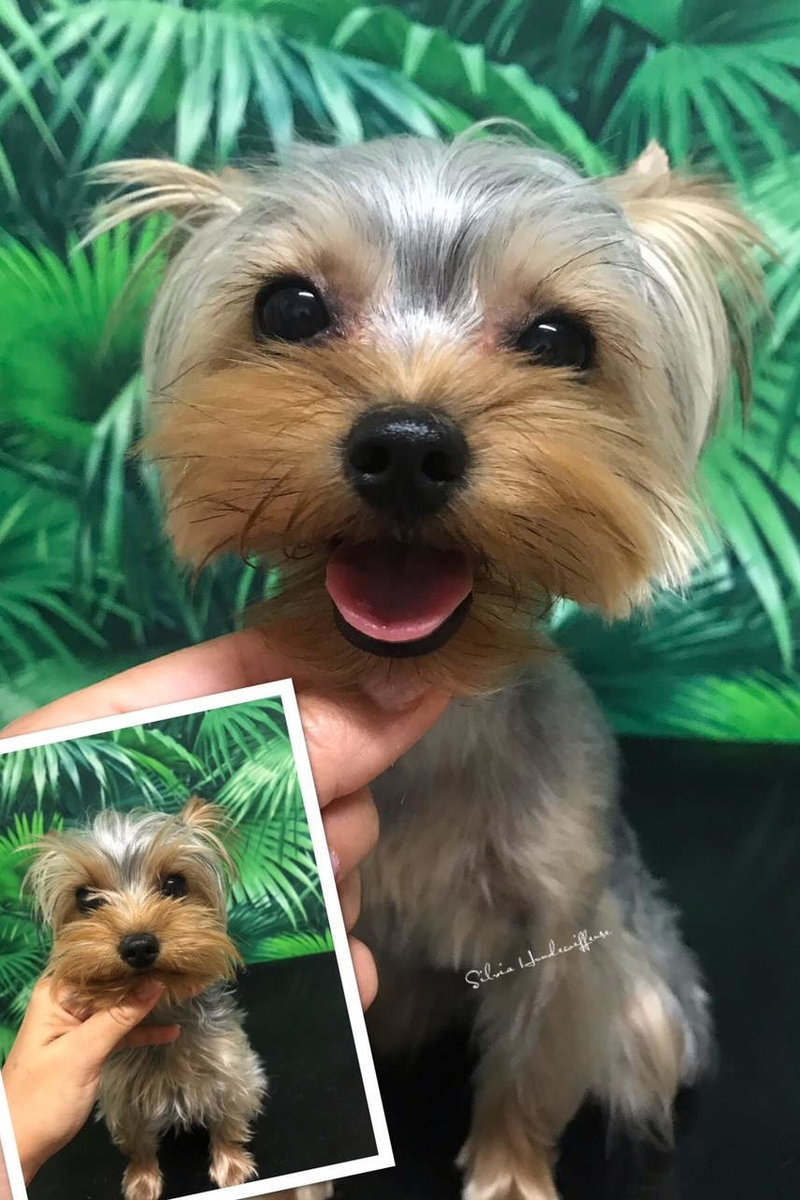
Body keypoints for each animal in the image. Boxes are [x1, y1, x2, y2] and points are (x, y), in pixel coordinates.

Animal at [26, 796, 268, 1200]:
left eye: (174, 883)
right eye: (86, 898)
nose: (138, 945)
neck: (161, 1010)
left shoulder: (232, 1073)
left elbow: (227, 1121)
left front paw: (231, 1165)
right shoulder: (122, 1099)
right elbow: (137, 1143)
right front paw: (142, 1181)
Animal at [94, 133, 762, 1200]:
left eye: (559, 337)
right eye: (290, 309)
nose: (407, 445)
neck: (429, 713)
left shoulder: (558, 929)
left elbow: (529, 1073)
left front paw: (509, 1176)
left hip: (647, 1001)